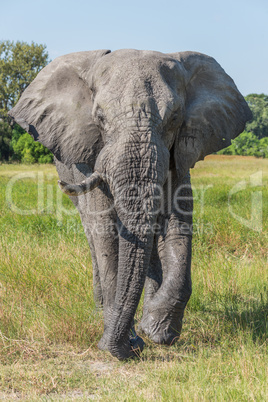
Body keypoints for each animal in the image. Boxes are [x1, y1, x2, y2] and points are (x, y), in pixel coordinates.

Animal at [8, 48, 251, 360]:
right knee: (94, 236)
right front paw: (130, 343)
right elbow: (107, 232)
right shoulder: (88, 155)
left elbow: (177, 226)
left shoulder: (179, 151)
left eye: (175, 117)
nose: (123, 347)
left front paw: (156, 331)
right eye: (99, 117)